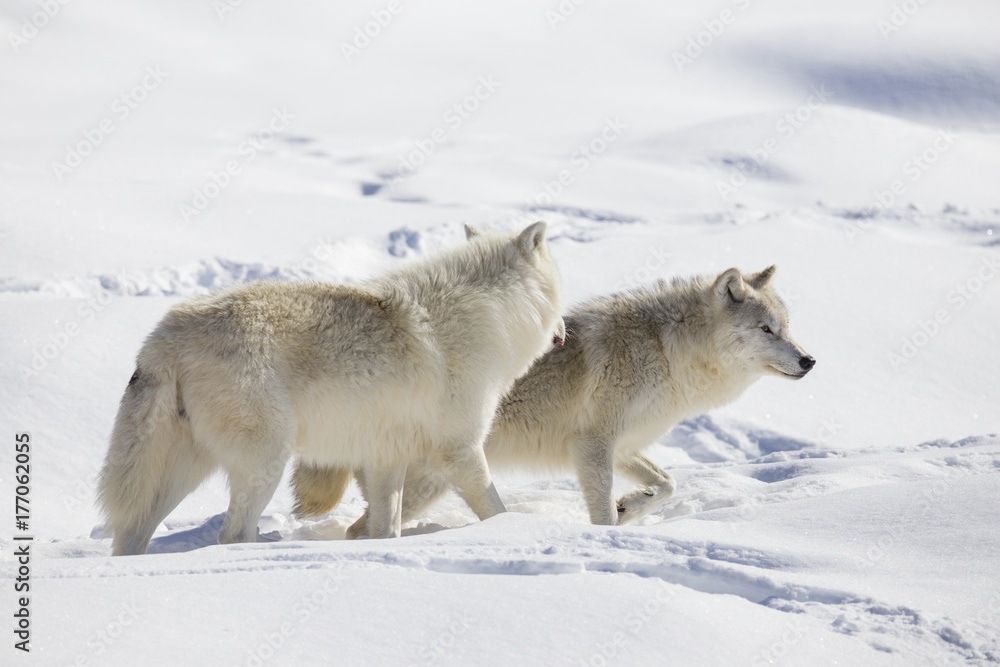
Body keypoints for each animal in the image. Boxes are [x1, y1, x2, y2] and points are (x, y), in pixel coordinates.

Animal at [97, 222, 565, 555]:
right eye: (562, 290)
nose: (563, 332)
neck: (489, 317)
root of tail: (162, 337)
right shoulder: (460, 450)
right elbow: (494, 508)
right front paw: (513, 531)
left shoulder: (385, 458)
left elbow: (386, 530)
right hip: (265, 462)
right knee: (231, 536)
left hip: (182, 470)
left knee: (131, 534)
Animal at [293, 265, 814, 534]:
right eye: (766, 330)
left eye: (787, 328)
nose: (809, 360)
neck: (667, 351)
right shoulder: (592, 445)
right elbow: (601, 510)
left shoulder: (620, 446)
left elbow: (669, 485)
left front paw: (632, 507)